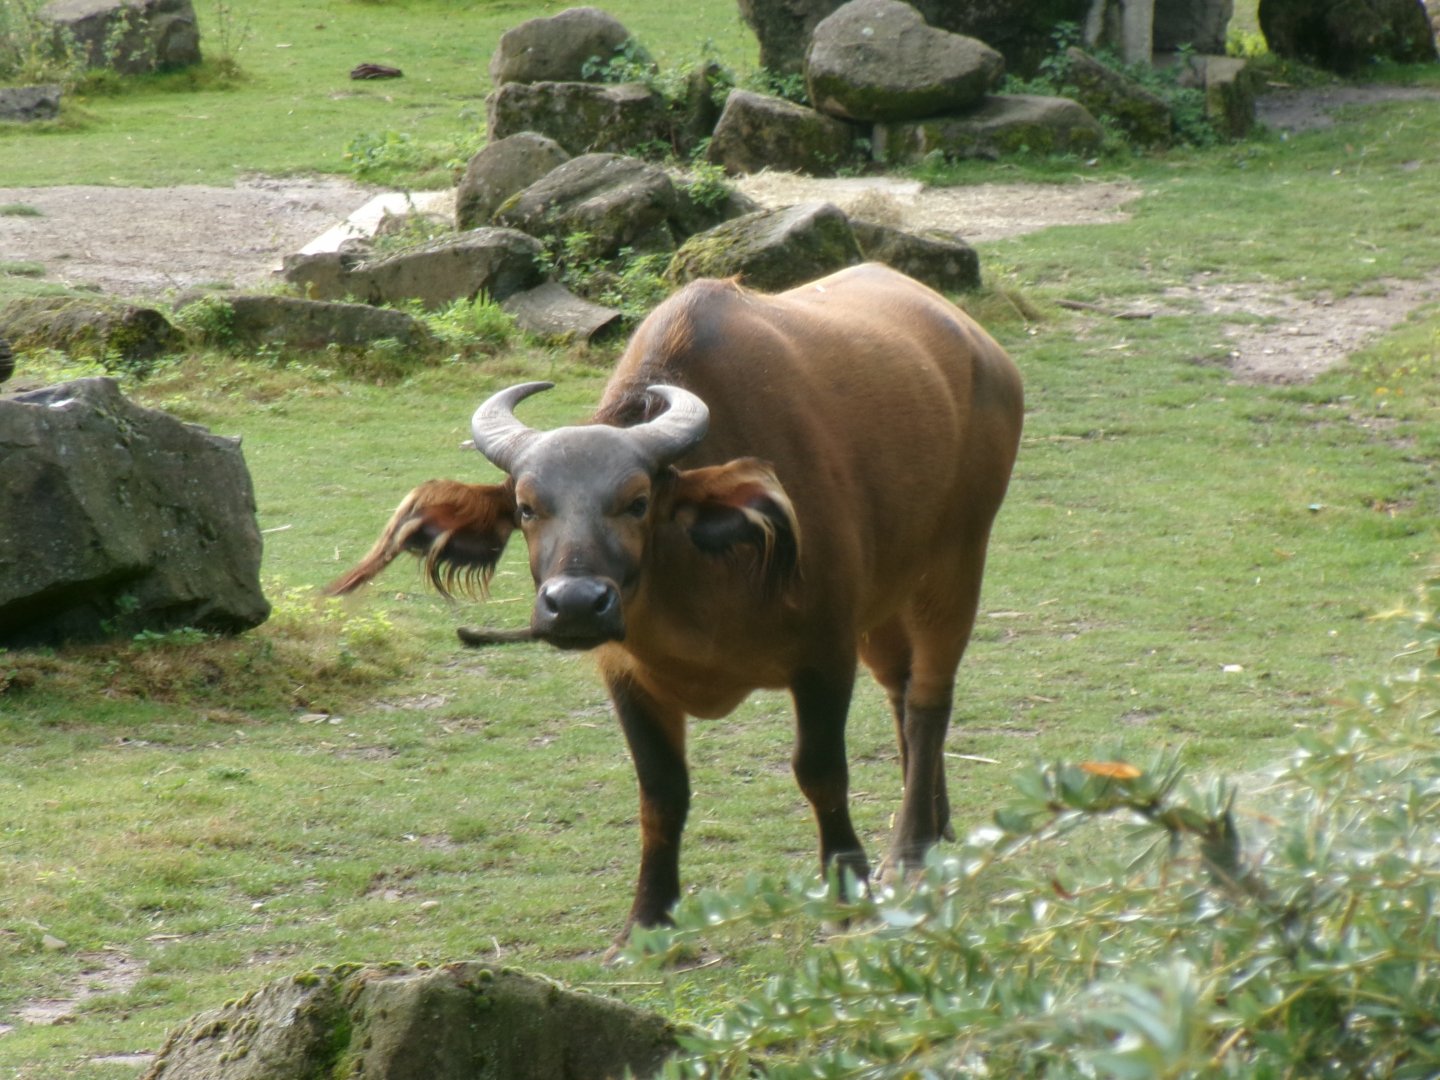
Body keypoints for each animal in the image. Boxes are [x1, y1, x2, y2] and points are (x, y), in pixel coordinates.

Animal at [330, 263, 1023, 936]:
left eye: (638, 501)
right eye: (526, 508)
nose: (575, 604)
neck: (697, 591)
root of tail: (983, 350)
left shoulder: (825, 654)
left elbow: (822, 772)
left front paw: (846, 893)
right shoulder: (626, 673)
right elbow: (662, 793)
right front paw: (647, 919)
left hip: (955, 562)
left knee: (928, 700)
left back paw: (910, 849)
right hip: (884, 601)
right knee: (900, 691)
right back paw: (935, 823)